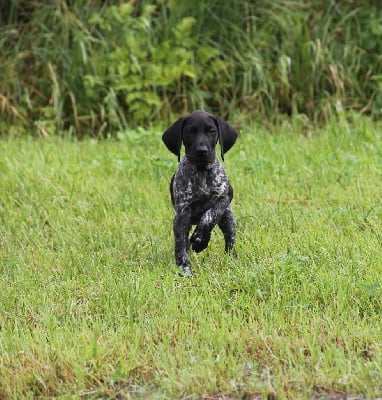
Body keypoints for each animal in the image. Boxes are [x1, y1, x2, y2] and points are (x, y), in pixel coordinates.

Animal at [162, 109, 239, 276]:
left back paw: (232, 259)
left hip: (228, 218)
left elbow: (210, 215)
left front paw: (200, 240)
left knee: (230, 239)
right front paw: (184, 270)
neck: (202, 172)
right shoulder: (182, 215)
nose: (202, 151)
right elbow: (181, 246)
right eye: (190, 131)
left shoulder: (226, 196)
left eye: (212, 131)